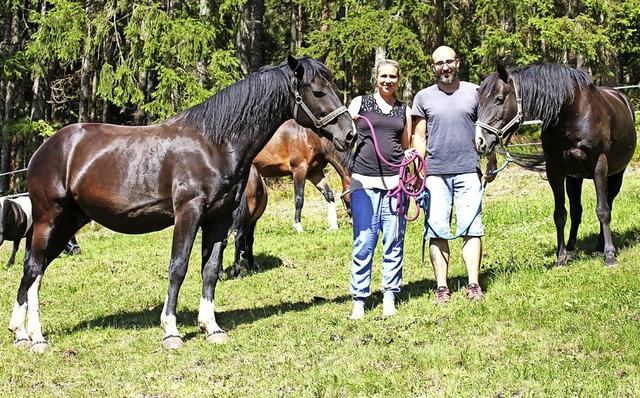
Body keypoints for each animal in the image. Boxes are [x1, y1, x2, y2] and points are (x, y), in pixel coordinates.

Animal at [10, 56, 358, 352]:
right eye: (317, 91)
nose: (350, 134)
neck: (213, 142)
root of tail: (46, 149)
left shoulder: (219, 219)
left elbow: (210, 270)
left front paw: (212, 327)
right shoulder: (188, 213)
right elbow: (178, 268)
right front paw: (171, 332)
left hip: (69, 222)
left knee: (34, 273)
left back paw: (20, 333)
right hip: (48, 219)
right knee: (34, 268)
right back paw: (36, 337)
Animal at [476, 63, 636, 268]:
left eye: (499, 99)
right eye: (479, 101)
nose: (480, 142)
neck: (572, 115)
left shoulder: (599, 167)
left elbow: (603, 210)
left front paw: (610, 256)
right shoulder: (556, 171)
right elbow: (560, 214)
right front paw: (561, 258)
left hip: (616, 175)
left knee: (608, 204)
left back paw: (601, 248)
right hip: (575, 179)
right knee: (576, 211)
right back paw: (571, 249)